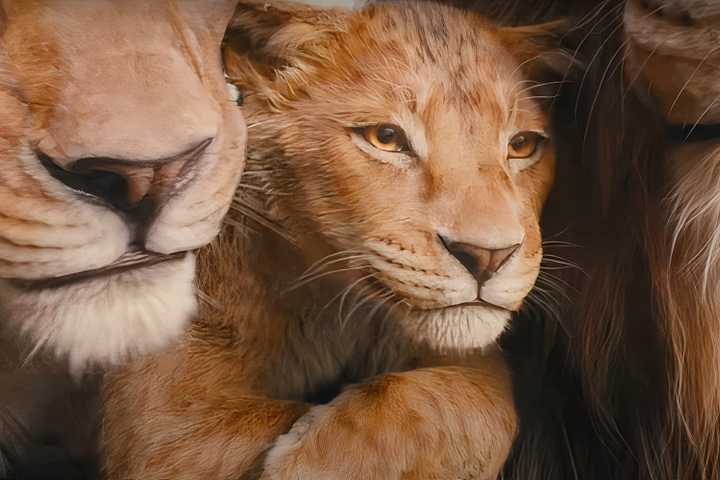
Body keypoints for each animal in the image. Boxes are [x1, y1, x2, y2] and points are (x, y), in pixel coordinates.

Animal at [101, 1, 569, 478]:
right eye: (386, 138)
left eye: (522, 145)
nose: (489, 256)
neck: (326, 306)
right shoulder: (164, 423)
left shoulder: (470, 362)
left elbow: (470, 405)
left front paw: (319, 457)